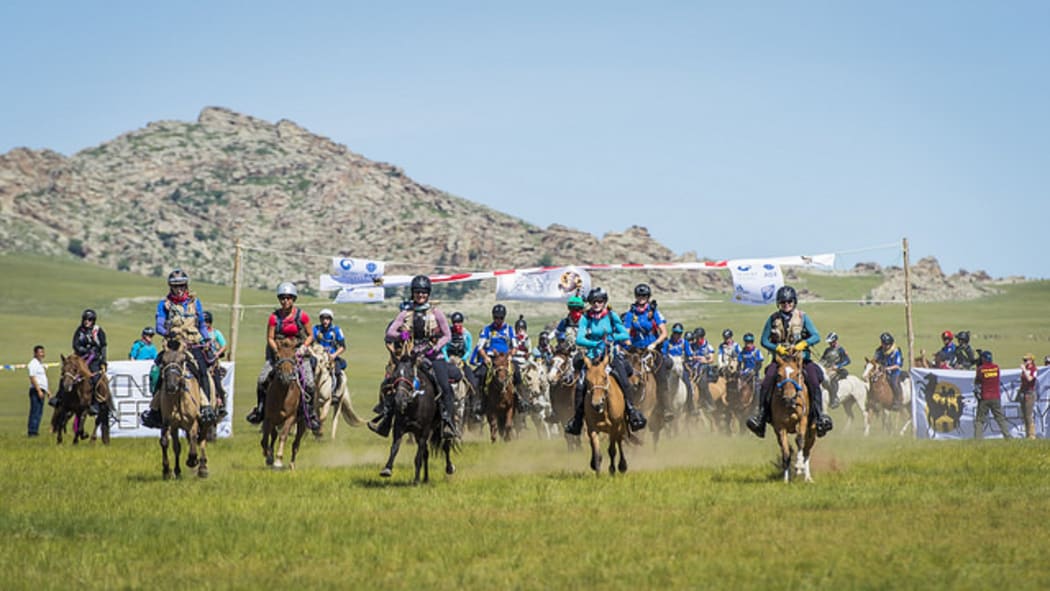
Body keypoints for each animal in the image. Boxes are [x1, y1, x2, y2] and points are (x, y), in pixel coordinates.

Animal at [157, 344, 208, 478]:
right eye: (163, 361)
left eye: (181, 361)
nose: (171, 386)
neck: (178, 400)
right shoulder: (168, 423)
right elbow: (166, 442)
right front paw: (167, 470)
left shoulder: (193, 422)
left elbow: (194, 437)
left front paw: (192, 460)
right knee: (178, 446)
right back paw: (179, 470)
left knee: (202, 441)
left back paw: (202, 468)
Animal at [261, 338, 308, 472]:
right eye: (277, 356)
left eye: (294, 357)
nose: (286, 378)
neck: (282, 396)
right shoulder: (269, 418)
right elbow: (266, 438)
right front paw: (269, 457)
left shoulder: (290, 418)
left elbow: (283, 436)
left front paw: (278, 460)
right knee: (273, 435)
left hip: (302, 423)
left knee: (296, 444)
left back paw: (291, 464)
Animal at [382, 348, 455, 482]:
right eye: (394, 376)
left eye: (411, 375)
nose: (399, 400)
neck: (414, 404)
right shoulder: (399, 428)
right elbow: (395, 448)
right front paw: (387, 469)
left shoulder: (424, 431)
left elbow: (418, 456)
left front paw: (415, 480)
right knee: (426, 453)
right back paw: (425, 478)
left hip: (442, 427)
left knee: (446, 445)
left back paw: (449, 468)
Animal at [768, 354, 814, 482]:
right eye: (779, 375)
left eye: (797, 374)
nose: (788, 398)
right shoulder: (780, 427)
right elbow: (786, 452)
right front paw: (785, 480)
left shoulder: (802, 420)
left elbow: (799, 441)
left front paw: (798, 467)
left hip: (812, 430)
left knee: (807, 450)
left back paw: (807, 477)